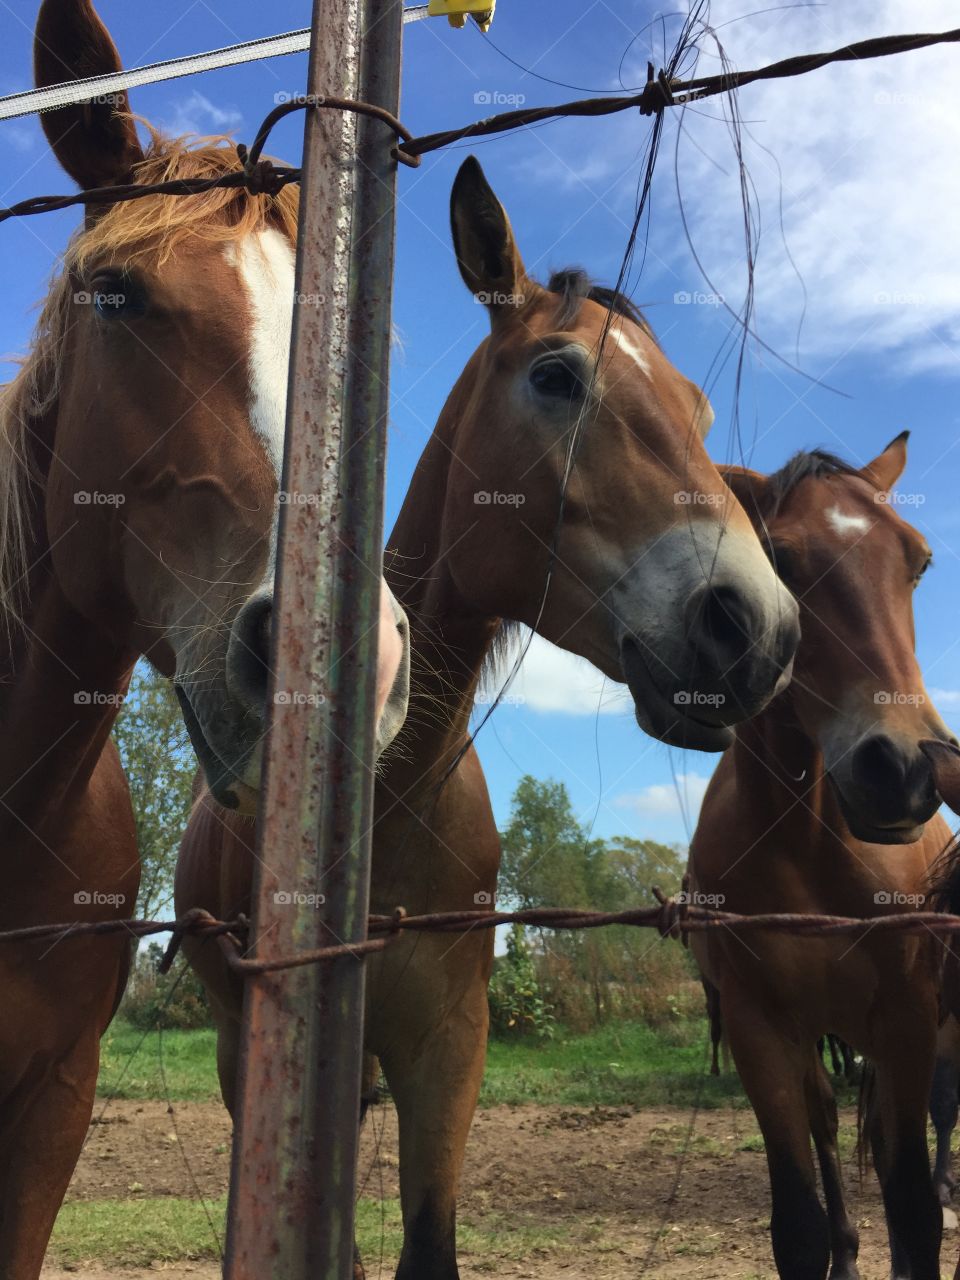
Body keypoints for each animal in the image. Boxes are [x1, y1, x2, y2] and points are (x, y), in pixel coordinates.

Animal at [175, 149, 803, 1269]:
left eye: (699, 409)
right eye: (556, 376)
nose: (759, 627)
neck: (383, 805)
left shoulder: (447, 1048)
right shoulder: (262, 1049)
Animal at [691, 437, 957, 1280]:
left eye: (919, 562)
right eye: (777, 556)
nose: (902, 769)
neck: (810, 846)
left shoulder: (909, 1021)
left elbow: (913, 1210)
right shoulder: (761, 1030)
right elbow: (799, 1225)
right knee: (827, 1127)